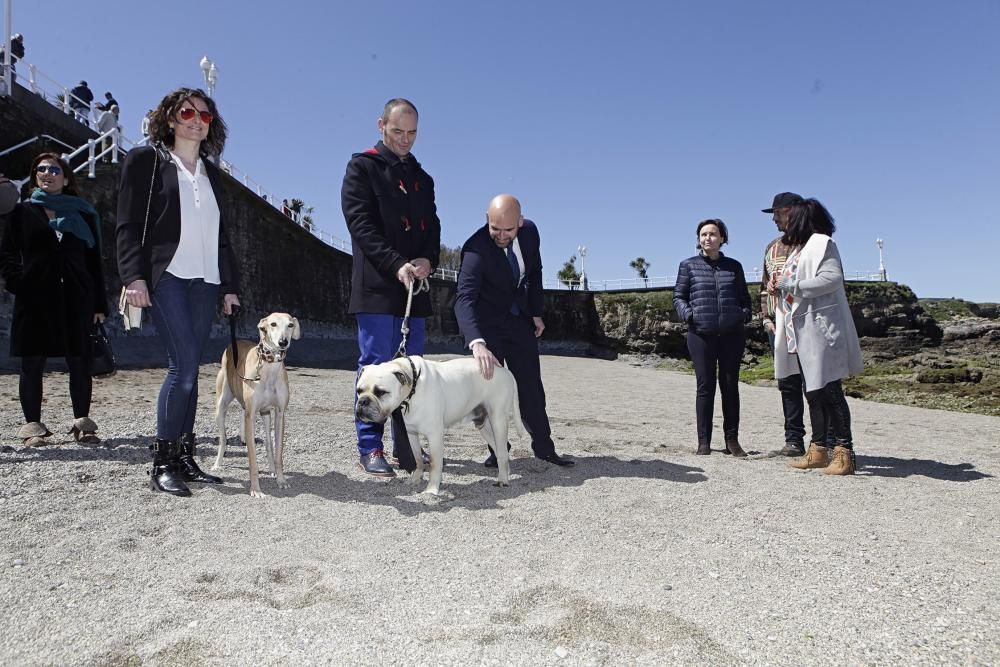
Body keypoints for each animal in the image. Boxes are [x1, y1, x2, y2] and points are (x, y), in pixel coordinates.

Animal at [215, 314, 300, 496]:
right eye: (273, 324)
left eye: (290, 325)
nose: (283, 342)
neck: (269, 366)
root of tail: (234, 343)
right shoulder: (251, 415)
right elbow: (252, 458)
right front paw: (255, 489)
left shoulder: (279, 414)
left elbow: (278, 452)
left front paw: (281, 480)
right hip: (221, 407)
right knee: (223, 438)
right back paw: (217, 464)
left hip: (265, 413)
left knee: (268, 442)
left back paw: (272, 469)